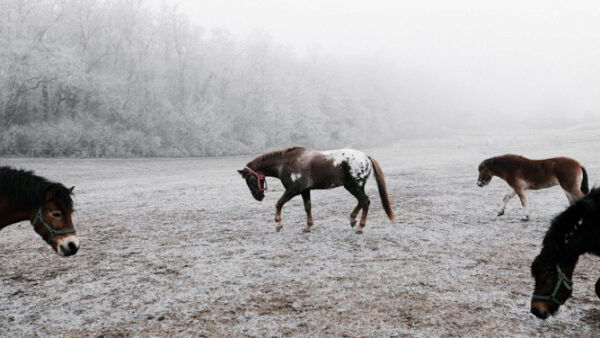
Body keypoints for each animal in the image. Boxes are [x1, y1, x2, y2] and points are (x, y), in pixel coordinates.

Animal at [237, 147, 396, 234]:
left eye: (250, 179)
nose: (258, 197)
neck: (286, 163)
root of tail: (366, 157)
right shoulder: (305, 190)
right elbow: (307, 207)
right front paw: (308, 226)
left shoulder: (293, 190)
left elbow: (279, 203)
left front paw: (278, 224)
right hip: (354, 186)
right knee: (362, 201)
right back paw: (352, 219)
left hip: (354, 186)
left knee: (365, 201)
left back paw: (360, 227)